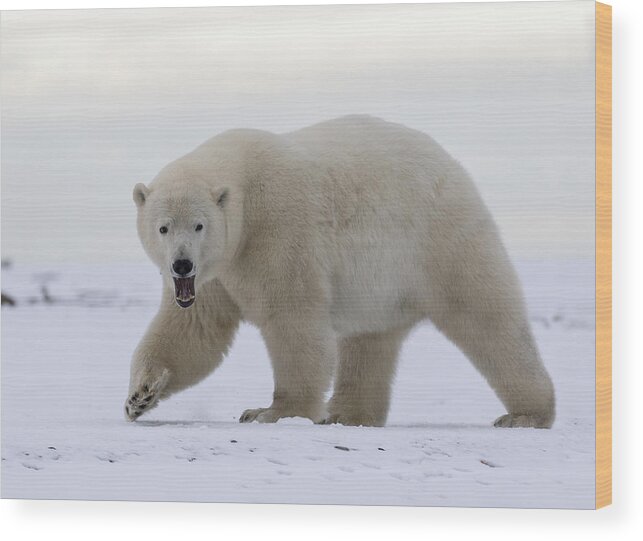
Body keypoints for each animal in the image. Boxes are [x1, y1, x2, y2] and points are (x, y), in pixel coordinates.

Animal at [127, 114, 560, 426]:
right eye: (163, 227)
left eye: (199, 225)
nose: (181, 264)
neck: (245, 192)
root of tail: (451, 164)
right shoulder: (215, 274)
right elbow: (194, 329)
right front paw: (140, 395)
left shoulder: (276, 230)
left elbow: (293, 319)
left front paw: (271, 412)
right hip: (383, 285)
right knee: (370, 341)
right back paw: (347, 414)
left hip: (438, 237)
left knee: (485, 315)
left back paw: (526, 414)